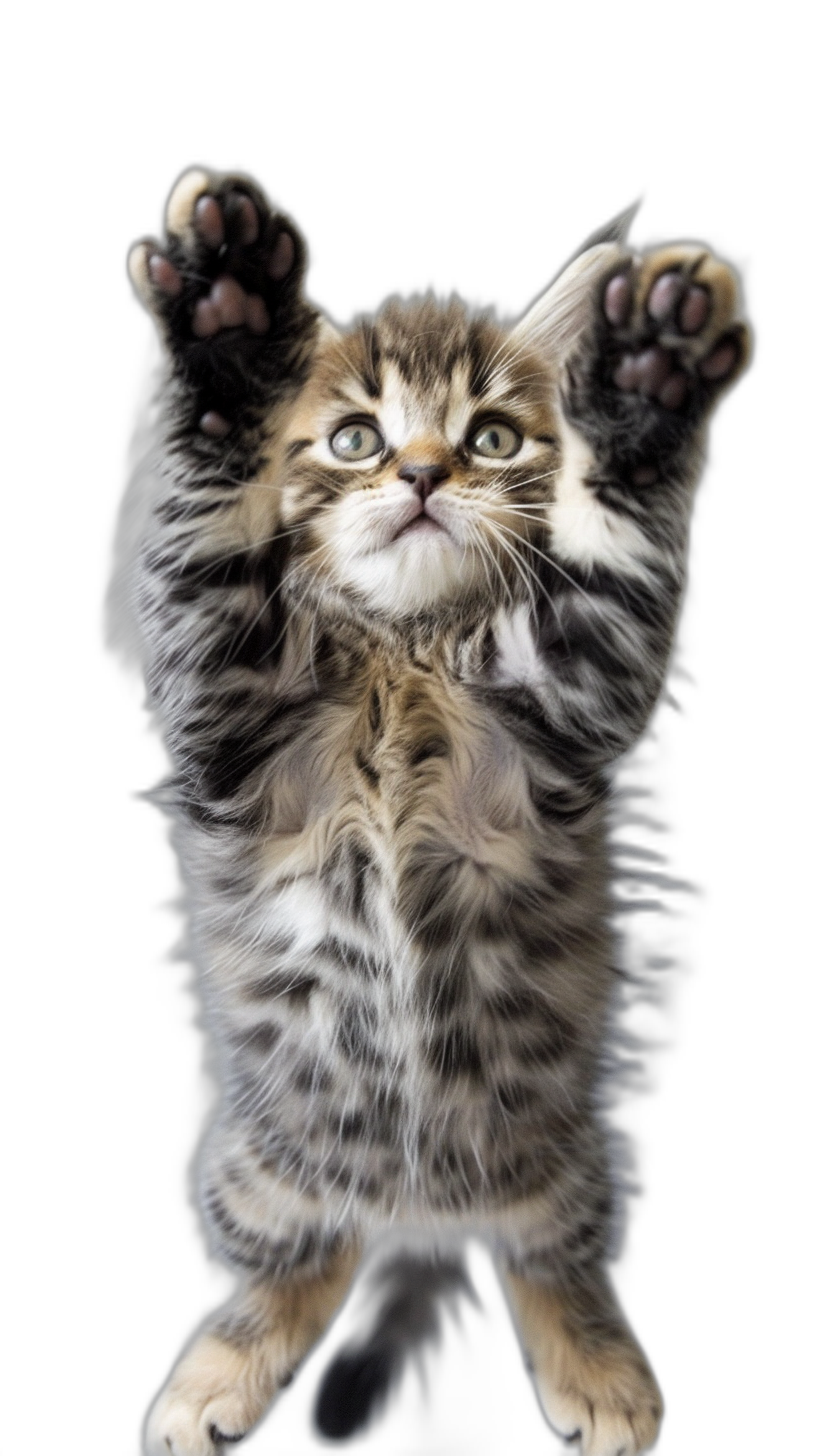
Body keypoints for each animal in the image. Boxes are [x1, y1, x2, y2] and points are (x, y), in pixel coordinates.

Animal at [115, 165, 751, 1450]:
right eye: (355, 438)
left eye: (492, 438)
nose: (418, 475)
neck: (401, 660)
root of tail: (414, 1207)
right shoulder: (220, 691)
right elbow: (202, 529)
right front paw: (230, 325)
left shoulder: (569, 689)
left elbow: (613, 556)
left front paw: (649, 382)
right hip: (254, 1172)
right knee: (298, 1264)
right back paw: (219, 1374)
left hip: (567, 1166)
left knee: (550, 1262)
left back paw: (599, 1373)